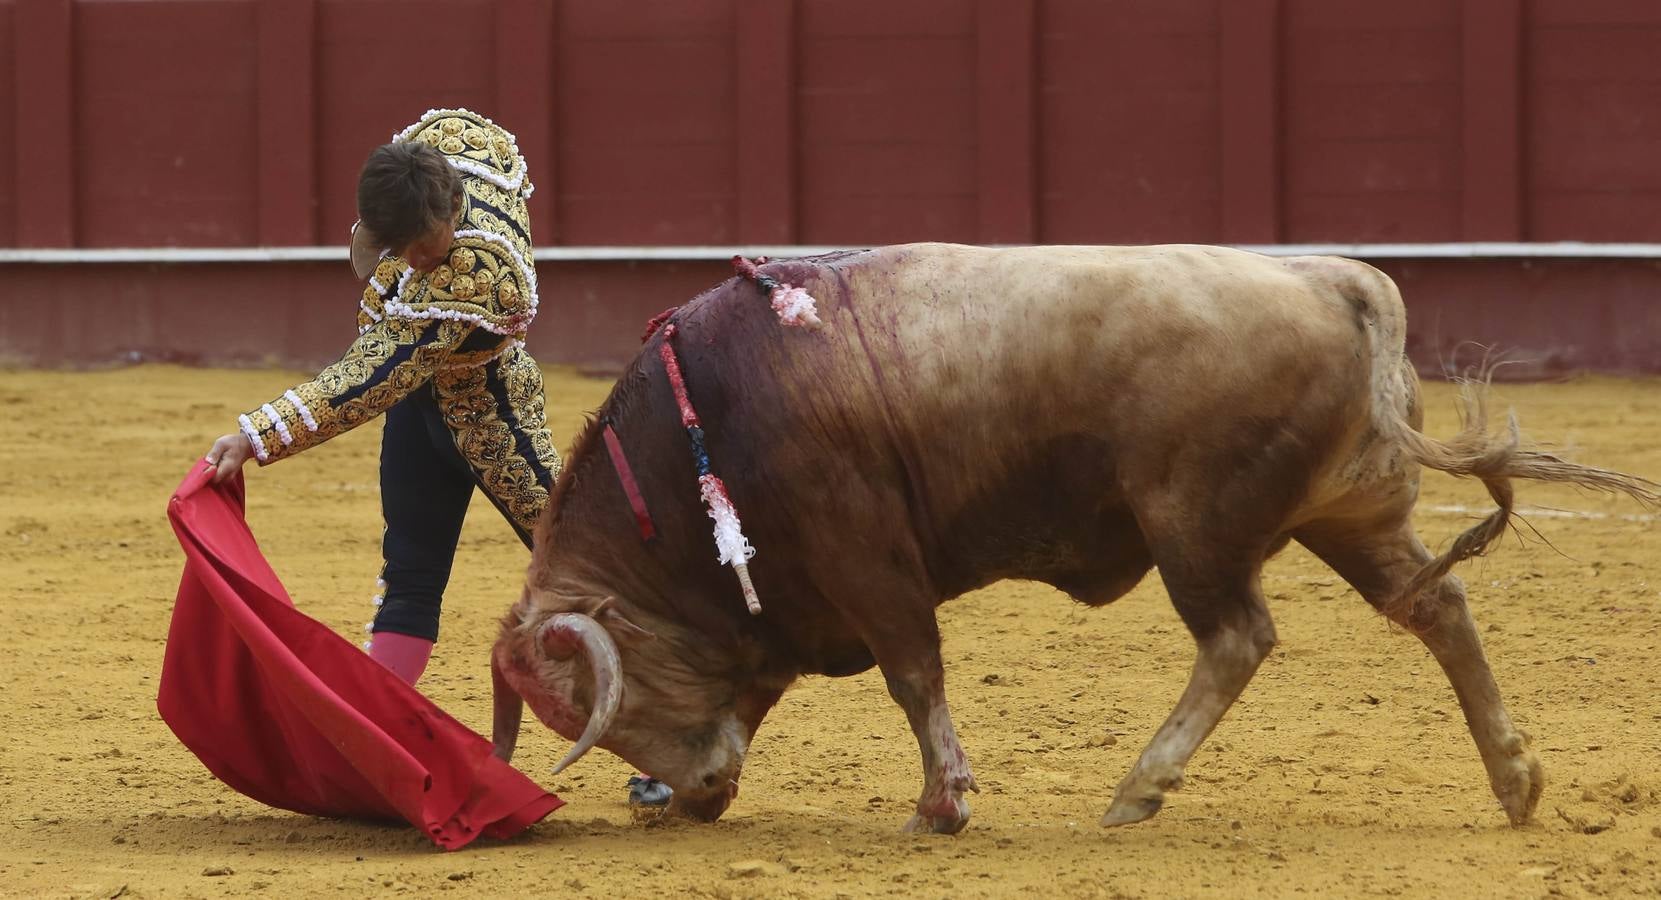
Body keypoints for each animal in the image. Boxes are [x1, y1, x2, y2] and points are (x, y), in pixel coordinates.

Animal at [485, 244, 1654, 836]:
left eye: (596, 702)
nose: (689, 801)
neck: (706, 424)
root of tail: (1341, 280)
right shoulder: (789, 603)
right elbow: (770, 689)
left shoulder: (864, 557)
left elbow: (913, 672)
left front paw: (941, 804)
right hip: (1351, 515)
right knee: (1434, 607)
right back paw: (1515, 779)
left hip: (1191, 526)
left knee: (1236, 637)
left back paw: (1138, 786)